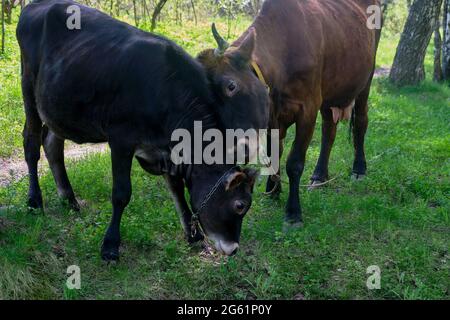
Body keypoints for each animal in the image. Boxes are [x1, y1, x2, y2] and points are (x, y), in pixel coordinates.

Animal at [16, 0, 268, 260]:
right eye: (239, 205)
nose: (233, 248)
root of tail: (34, 6)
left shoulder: (168, 152)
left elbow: (176, 189)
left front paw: (193, 235)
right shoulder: (121, 139)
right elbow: (121, 193)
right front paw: (110, 245)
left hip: (59, 106)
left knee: (52, 143)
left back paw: (69, 199)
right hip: (28, 86)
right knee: (32, 143)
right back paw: (34, 201)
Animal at [199, 0, 382, 225]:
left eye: (231, 86)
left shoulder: (307, 109)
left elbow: (294, 162)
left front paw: (293, 212)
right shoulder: (272, 117)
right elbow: (274, 153)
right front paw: (273, 190)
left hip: (366, 80)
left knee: (361, 122)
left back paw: (359, 169)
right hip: (329, 92)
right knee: (329, 130)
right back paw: (319, 176)